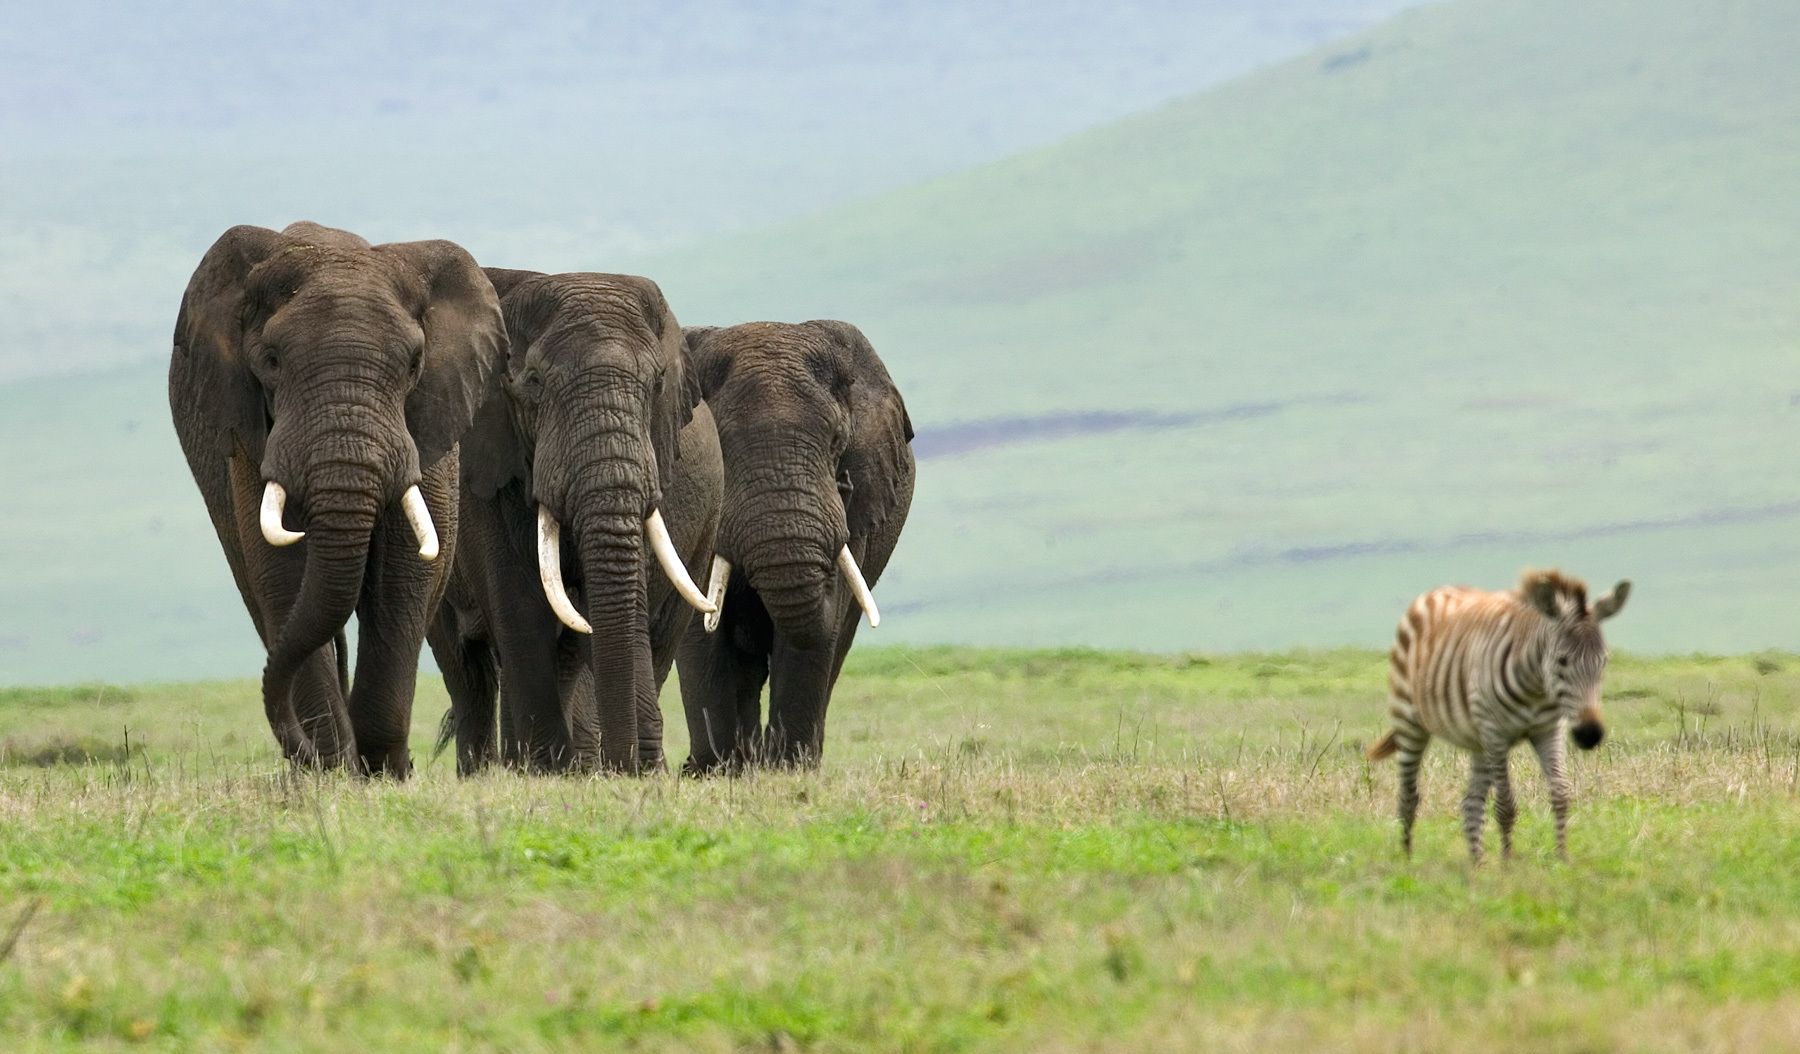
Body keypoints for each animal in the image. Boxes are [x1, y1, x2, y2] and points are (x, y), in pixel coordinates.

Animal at [169, 222, 503, 776]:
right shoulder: (254, 435)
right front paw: (334, 771)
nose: (303, 751)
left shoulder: (427, 422)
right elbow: (280, 571)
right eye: (271, 361)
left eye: (414, 364)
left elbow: (404, 574)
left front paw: (383, 772)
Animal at [428, 270, 722, 774]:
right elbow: (518, 606)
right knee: (467, 668)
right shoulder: (483, 467)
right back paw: (496, 771)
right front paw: (549, 770)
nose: (631, 766)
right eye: (533, 383)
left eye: (657, 384)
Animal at [676, 320, 914, 770]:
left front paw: (788, 769)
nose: (844, 485)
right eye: (720, 443)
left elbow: (819, 629)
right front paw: (715, 770)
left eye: (837, 440)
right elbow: (701, 624)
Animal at [1367, 570, 1630, 862]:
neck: (1537, 689)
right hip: (1410, 721)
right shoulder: (1497, 734)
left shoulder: (1548, 731)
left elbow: (1561, 794)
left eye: (1604, 661)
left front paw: (1562, 858)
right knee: (1408, 797)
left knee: (1470, 803)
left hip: (1479, 740)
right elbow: (1506, 805)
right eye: (1562, 660)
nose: (1589, 735)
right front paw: (1507, 863)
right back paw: (1408, 859)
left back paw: (1477, 863)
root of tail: (1436, 590)